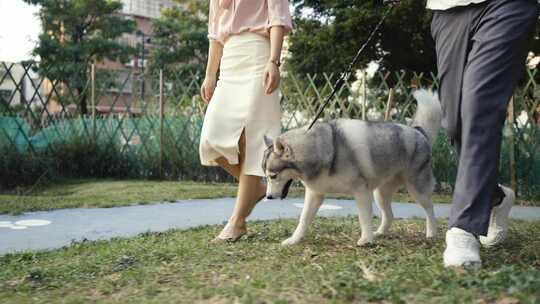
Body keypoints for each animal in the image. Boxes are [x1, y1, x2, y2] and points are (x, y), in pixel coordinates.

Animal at [262, 90, 442, 247]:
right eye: (267, 177)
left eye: (273, 176)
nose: (268, 197)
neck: (319, 149)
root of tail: (419, 131)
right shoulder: (315, 194)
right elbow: (304, 218)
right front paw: (294, 240)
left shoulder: (361, 191)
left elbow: (364, 217)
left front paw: (366, 240)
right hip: (380, 194)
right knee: (389, 215)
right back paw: (380, 233)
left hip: (416, 190)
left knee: (430, 209)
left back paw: (432, 233)